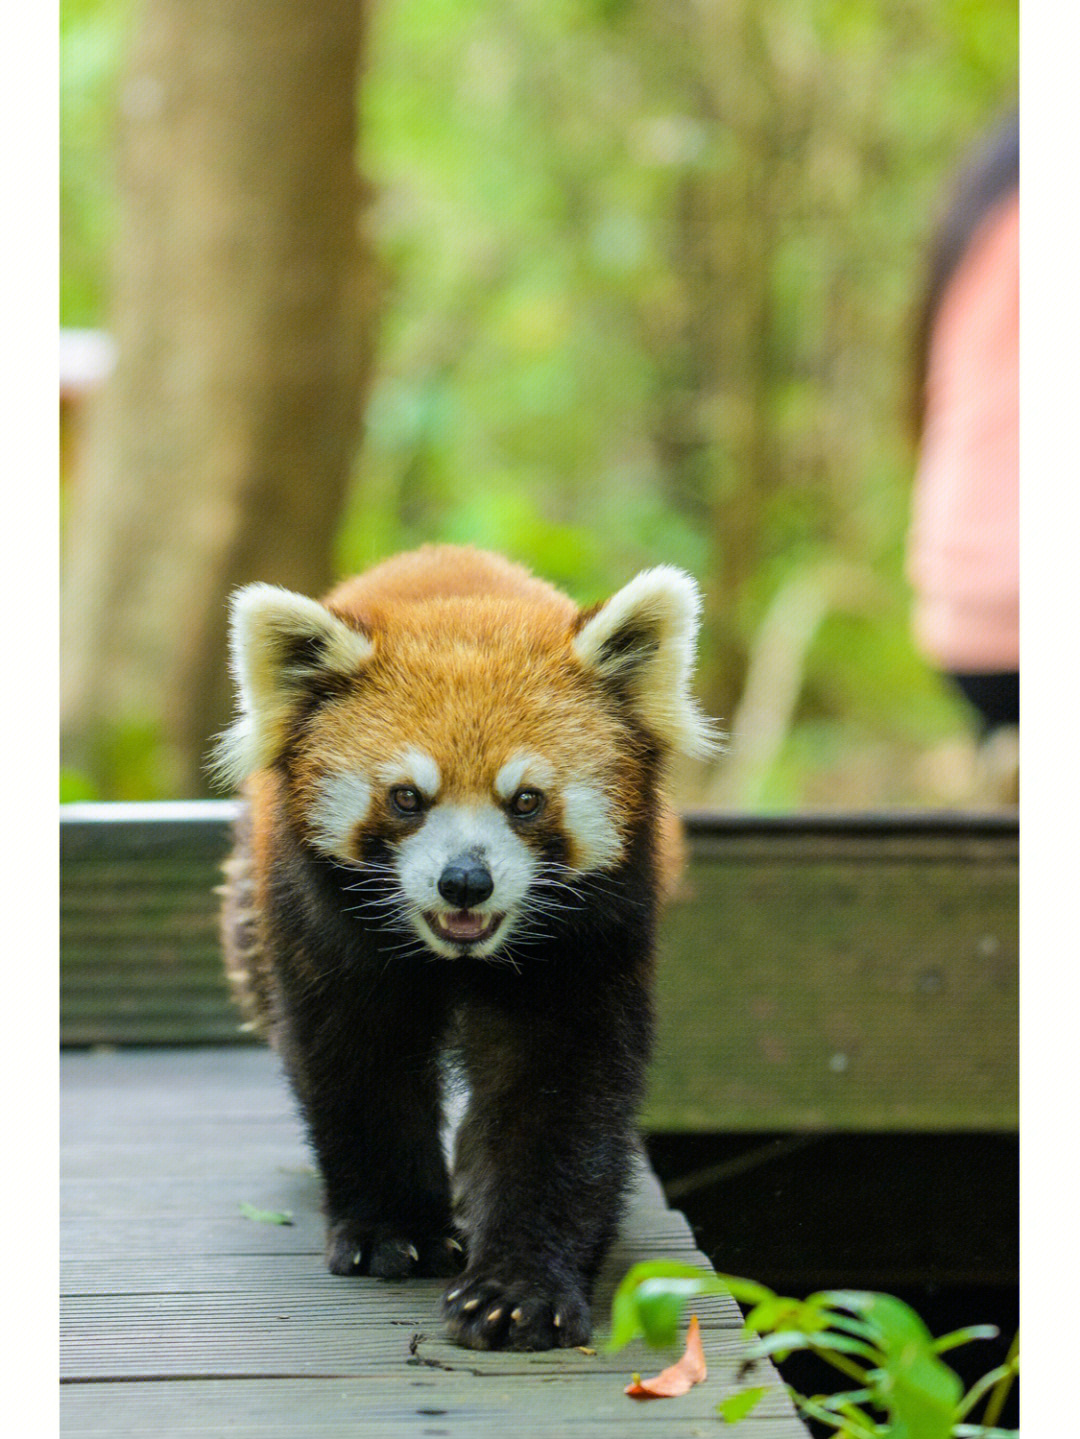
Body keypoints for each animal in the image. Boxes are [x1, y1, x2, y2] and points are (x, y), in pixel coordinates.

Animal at [215, 546, 719, 1346]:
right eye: (406, 797)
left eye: (526, 800)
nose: (464, 882)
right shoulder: (325, 930)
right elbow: (359, 1064)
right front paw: (395, 1230)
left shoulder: (589, 942)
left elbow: (559, 1097)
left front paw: (519, 1287)